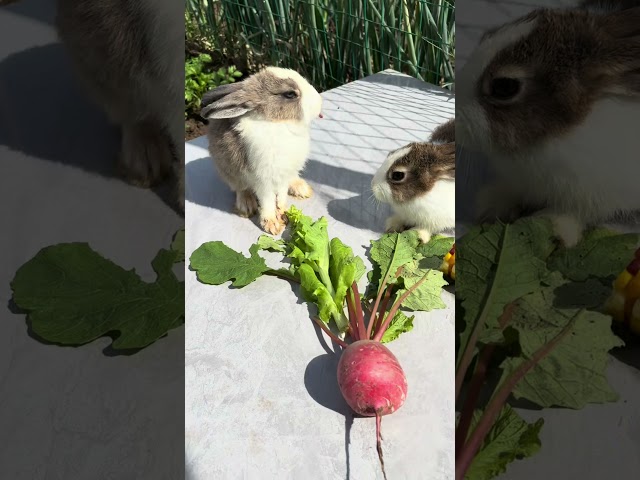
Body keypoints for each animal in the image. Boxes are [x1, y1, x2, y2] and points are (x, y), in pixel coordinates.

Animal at [200, 67, 322, 236]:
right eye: (290, 94)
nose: (320, 102)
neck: (279, 124)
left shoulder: (282, 177)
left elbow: (281, 196)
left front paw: (283, 212)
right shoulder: (263, 180)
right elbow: (267, 201)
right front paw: (272, 225)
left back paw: (301, 188)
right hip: (229, 172)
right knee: (240, 188)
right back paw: (246, 205)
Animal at [370, 116, 456, 244]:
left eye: (397, 175)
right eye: (390, 153)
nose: (373, 185)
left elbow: (428, 227)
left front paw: (417, 235)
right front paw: (392, 225)